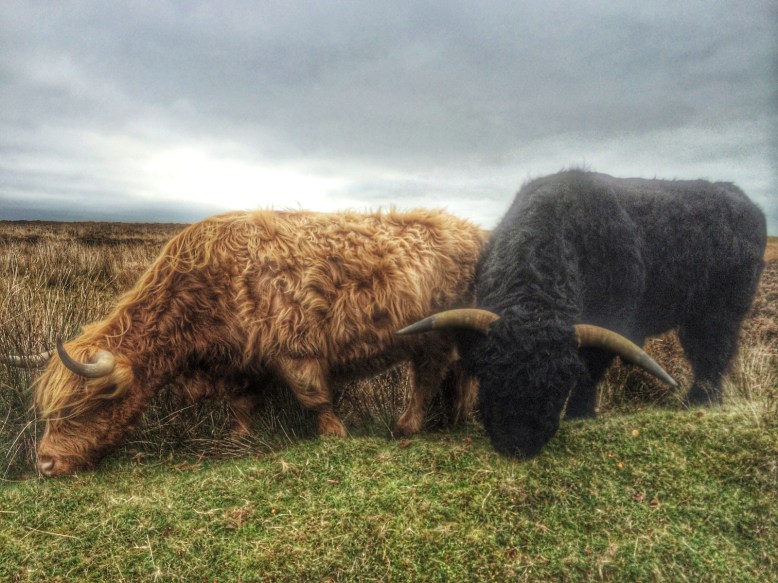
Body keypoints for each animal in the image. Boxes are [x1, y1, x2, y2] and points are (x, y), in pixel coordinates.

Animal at [29, 209, 486, 476]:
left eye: (83, 407)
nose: (46, 462)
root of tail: (473, 230)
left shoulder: (294, 346)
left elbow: (314, 398)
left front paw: (334, 435)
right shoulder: (242, 361)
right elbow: (242, 405)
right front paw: (237, 440)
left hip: (435, 333)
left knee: (428, 377)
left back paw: (407, 425)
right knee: (460, 375)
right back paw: (455, 418)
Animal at [399, 170, 767, 459]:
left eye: (560, 383)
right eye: (491, 376)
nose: (519, 443)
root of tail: (742, 200)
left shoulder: (613, 321)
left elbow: (593, 366)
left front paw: (580, 413)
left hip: (721, 310)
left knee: (713, 351)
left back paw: (701, 400)